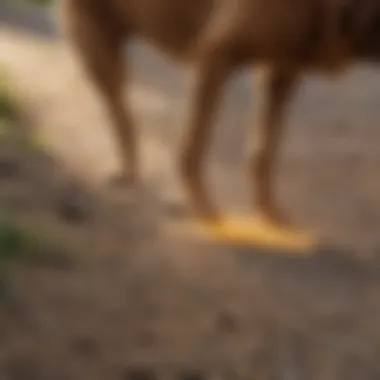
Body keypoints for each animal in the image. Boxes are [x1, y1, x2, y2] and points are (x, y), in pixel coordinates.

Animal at [58, 0, 380, 235]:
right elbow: (194, 147)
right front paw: (206, 211)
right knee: (121, 114)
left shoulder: (281, 73)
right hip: (96, 43)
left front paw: (270, 215)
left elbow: (263, 153)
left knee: (122, 115)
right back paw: (127, 175)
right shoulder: (216, 53)